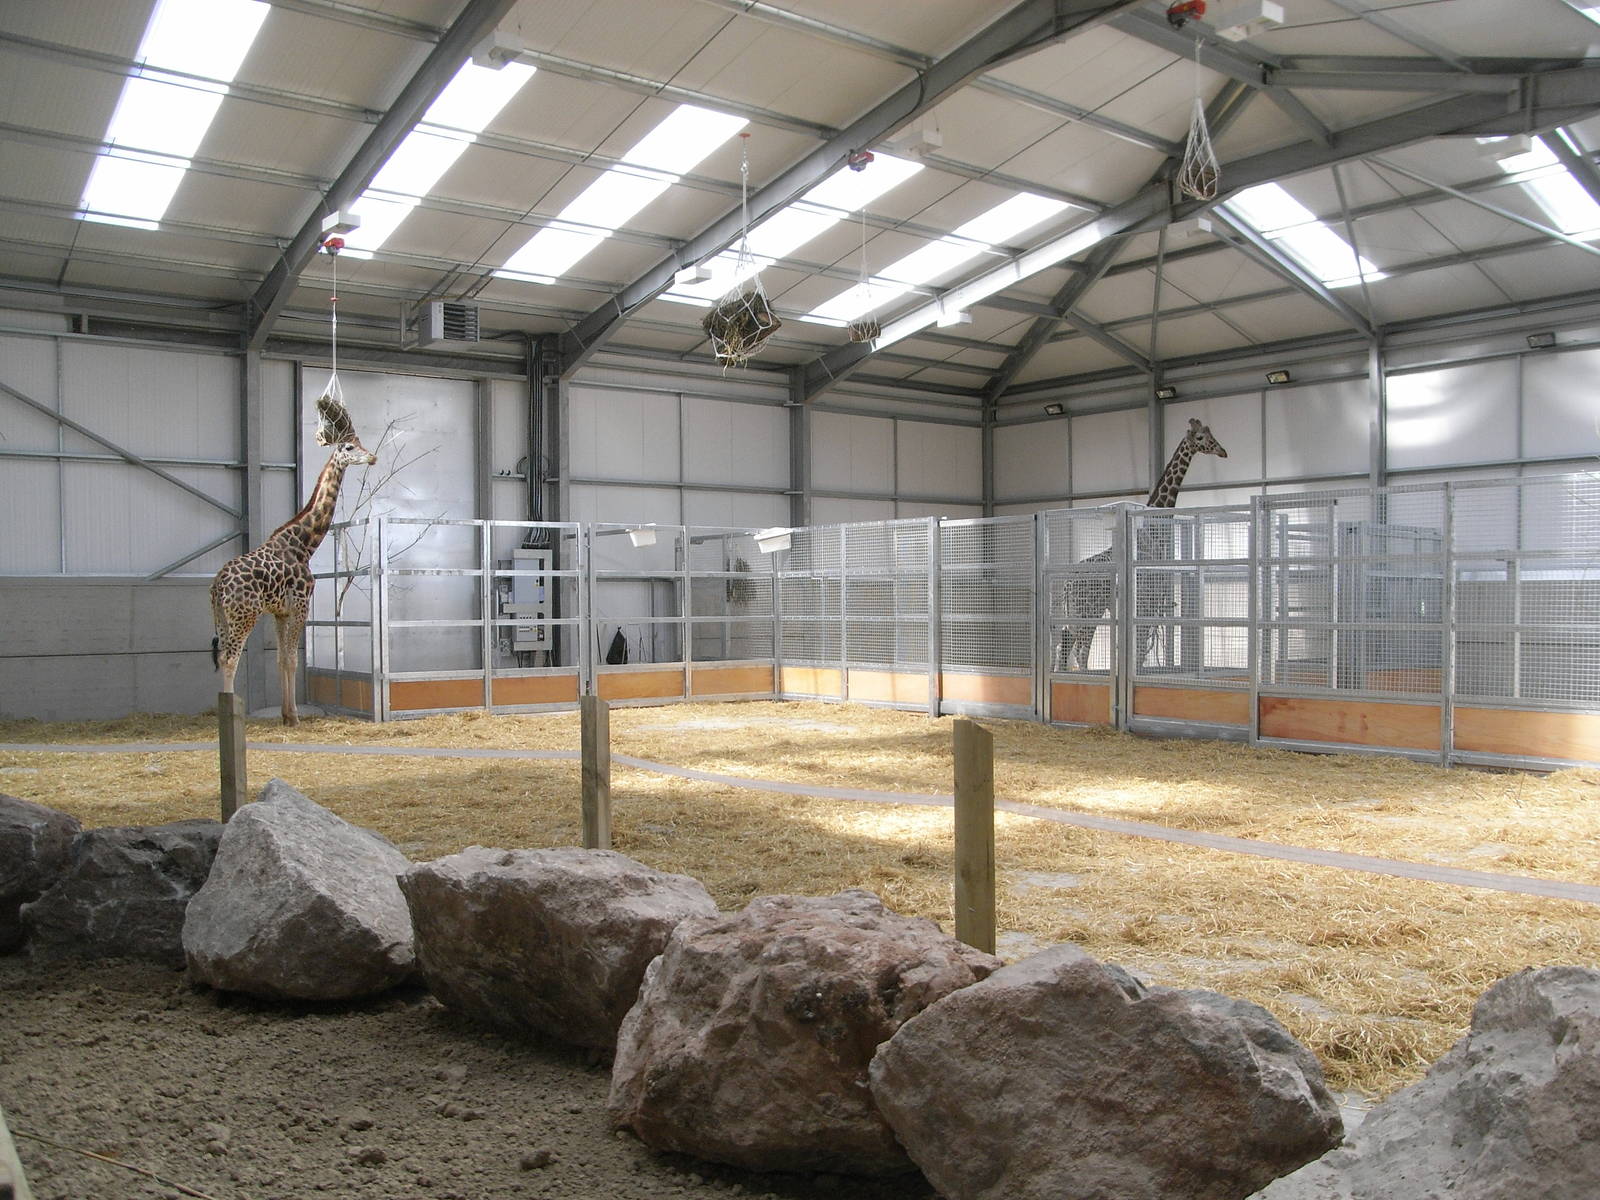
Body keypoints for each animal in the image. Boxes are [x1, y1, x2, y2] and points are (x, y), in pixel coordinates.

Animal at [210, 399, 375, 725]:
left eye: (361, 443)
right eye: (350, 447)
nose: (372, 457)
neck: (303, 544)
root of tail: (219, 586)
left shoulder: (280, 612)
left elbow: (281, 658)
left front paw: (286, 714)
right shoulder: (300, 603)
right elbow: (293, 659)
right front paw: (295, 716)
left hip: (220, 617)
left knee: (222, 655)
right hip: (244, 615)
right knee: (230, 657)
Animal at [1057, 418, 1228, 672]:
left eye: (1212, 433)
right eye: (1200, 437)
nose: (1222, 451)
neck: (1152, 532)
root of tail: (1068, 584)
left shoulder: (1149, 603)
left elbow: (1138, 650)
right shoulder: (1147, 600)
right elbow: (1138, 651)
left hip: (1080, 610)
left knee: (1068, 644)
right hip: (1088, 609)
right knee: (1078, 649)